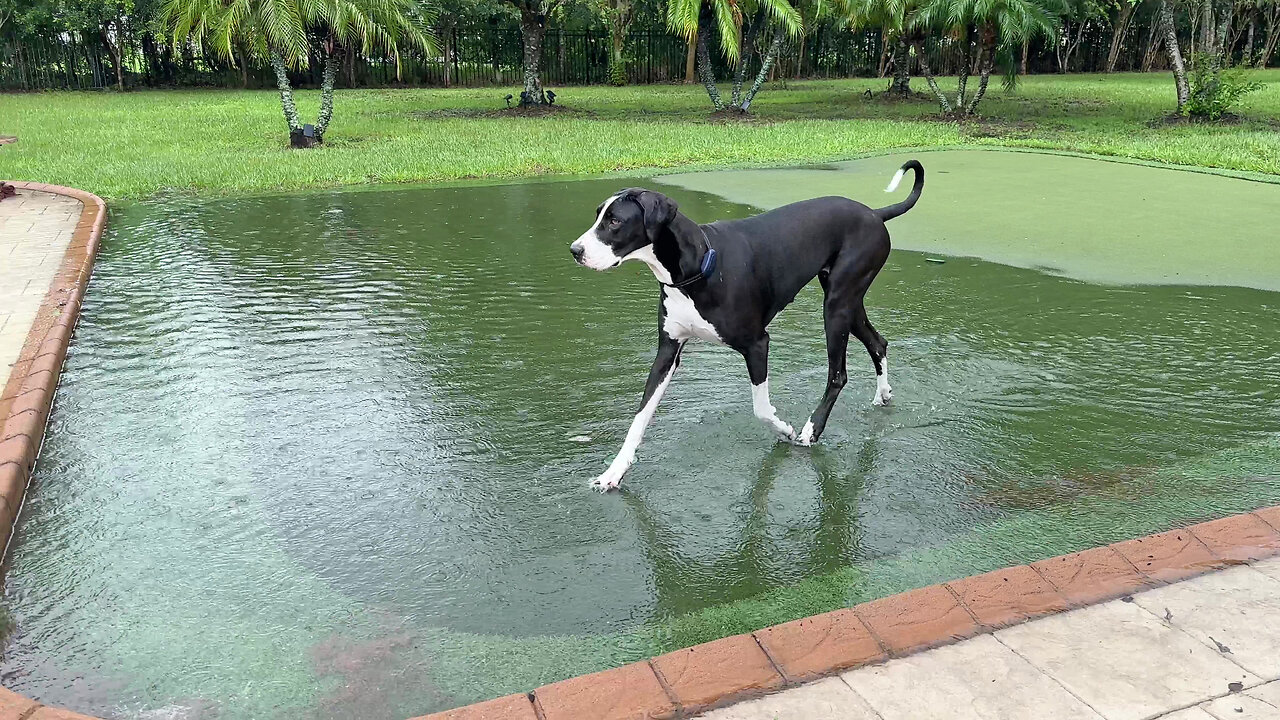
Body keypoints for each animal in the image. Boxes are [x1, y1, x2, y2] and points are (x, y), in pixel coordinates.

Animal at [570, 159, 921, 489]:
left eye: (615, 221)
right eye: (599, 216)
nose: (575, 250)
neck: (696, 268)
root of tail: (874, 213)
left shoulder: (757, 345)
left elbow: (761, 409)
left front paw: (786, 430)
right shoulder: (667, 352)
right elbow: (640, 416)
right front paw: (613, 472)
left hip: (836, 307)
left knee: (838, 374)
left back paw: (811, 430)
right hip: (848, 303)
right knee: (877, 343)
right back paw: (882, 394)